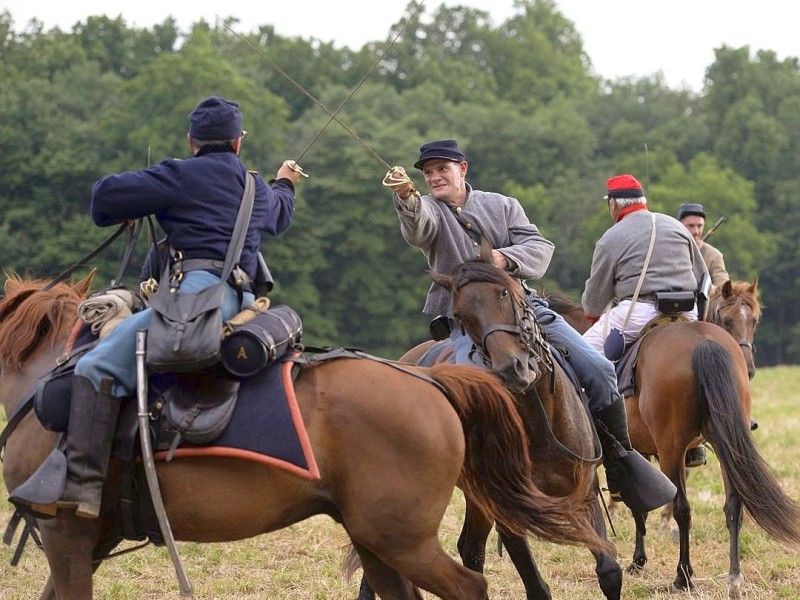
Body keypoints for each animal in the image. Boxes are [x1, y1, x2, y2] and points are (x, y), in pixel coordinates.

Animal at [0, 274, 608, 600]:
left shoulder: (66, 534)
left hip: (401, 540)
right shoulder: (91, 539)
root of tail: (432, 380)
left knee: (467, 586)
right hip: (378, 540)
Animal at [544, 288, 800, 596]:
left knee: (683, 509)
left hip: (672, 450)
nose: (751, 369)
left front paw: (638, 560)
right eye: (728, 319)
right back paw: (734, 577)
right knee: (733, 506)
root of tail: (702, 342)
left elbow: (640, 506)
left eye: (754, 321)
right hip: (724, 448)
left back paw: (683, 576)